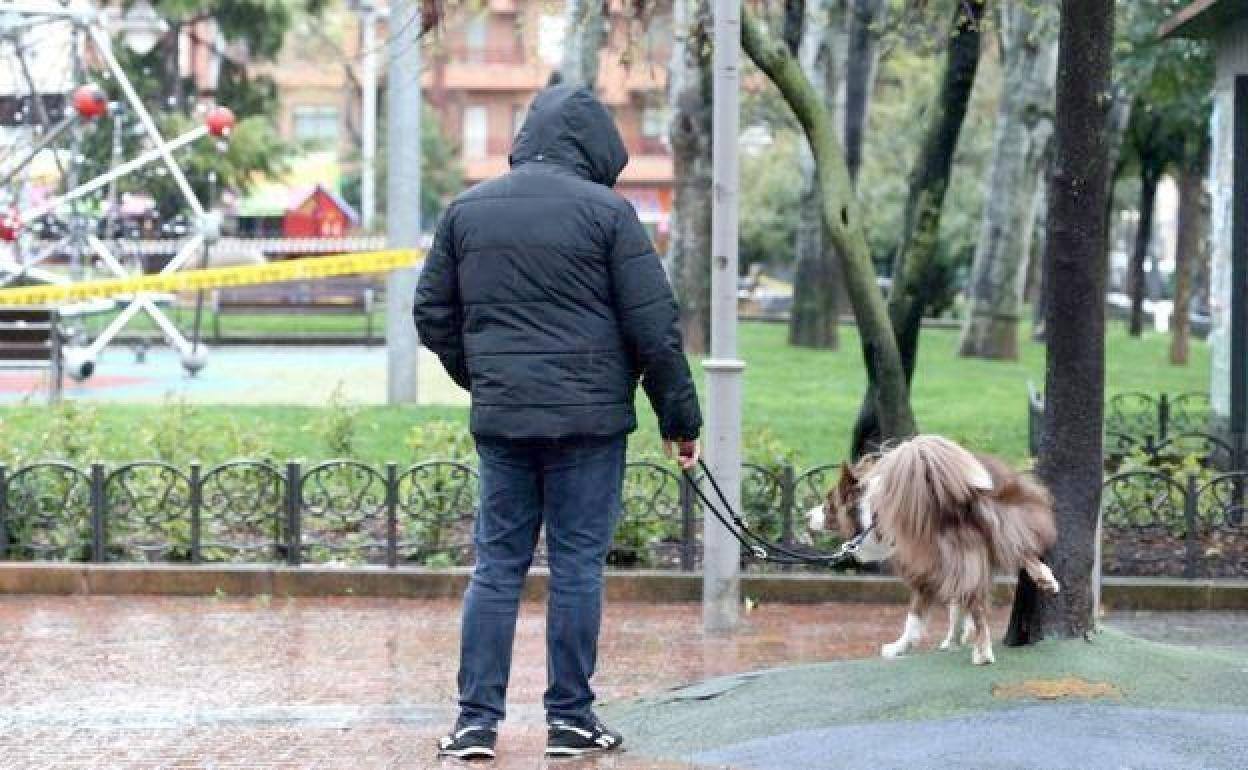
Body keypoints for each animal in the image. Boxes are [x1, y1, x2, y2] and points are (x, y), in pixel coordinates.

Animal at [808, 434, 1063, 663]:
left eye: (828, 504)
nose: (807, 515)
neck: (871, 514)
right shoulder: (963, 565)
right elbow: (957, 608)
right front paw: (953, 640)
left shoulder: (927, 571)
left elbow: (915, 618)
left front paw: (898, 648)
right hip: (1004, 519)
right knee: (1020, 548)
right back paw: (1046, 579)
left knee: (978, 606)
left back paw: (983, 654)